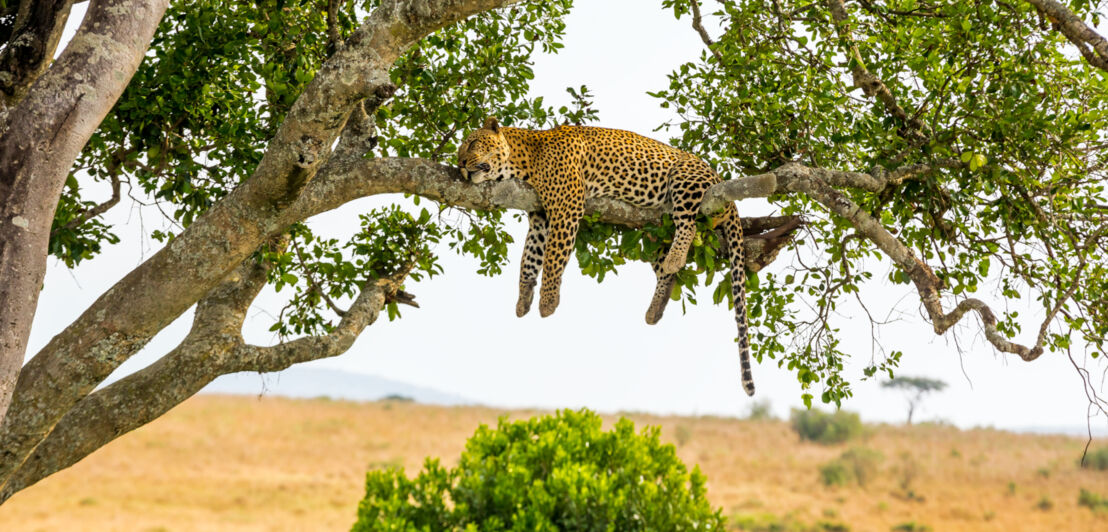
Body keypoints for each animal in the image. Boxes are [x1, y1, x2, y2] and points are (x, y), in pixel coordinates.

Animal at [454, 119, 757, 394]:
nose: (460, 165)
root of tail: (721, 181)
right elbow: (529, 259)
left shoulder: (566, 207)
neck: (524, 160)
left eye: (472, 143)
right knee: (665, 269)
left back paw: (675, 259)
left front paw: (548, 302)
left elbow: (553, 258)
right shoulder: (540, 217)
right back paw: (656, 307)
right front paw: (523, 299)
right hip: (654, 231)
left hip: (685, 179)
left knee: (689, 224)